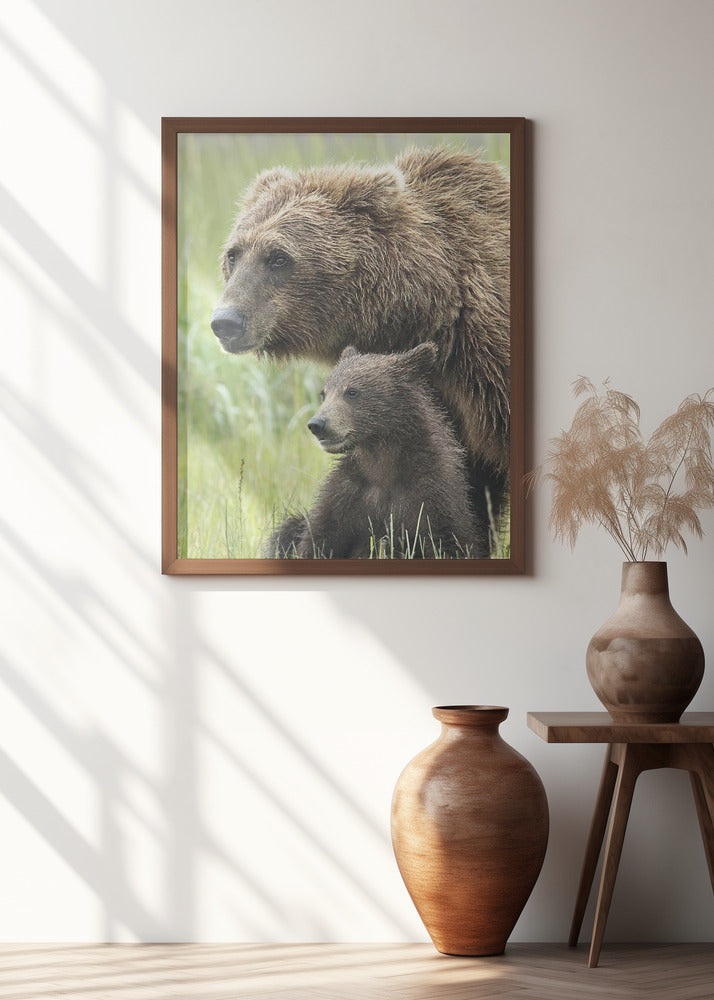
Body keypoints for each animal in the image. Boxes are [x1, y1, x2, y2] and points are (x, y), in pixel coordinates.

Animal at [266, 343, 487, 560]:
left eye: (351, 392)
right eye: (324, 393)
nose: (317, 424)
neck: (381, 463)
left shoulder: (431, 495)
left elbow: (449, 542)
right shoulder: (345, 496)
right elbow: (316, 541)